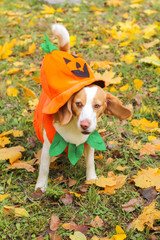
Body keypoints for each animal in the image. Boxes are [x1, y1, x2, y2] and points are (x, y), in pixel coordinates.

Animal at [34, 23, 131, 193]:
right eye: (78, 104)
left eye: (97, 106)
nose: (85, 125)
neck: (74, 129)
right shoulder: (47, 147)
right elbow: (44, 167)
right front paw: (41, 186)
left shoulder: (90, 143)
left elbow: (90, 162)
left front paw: (92, 179)